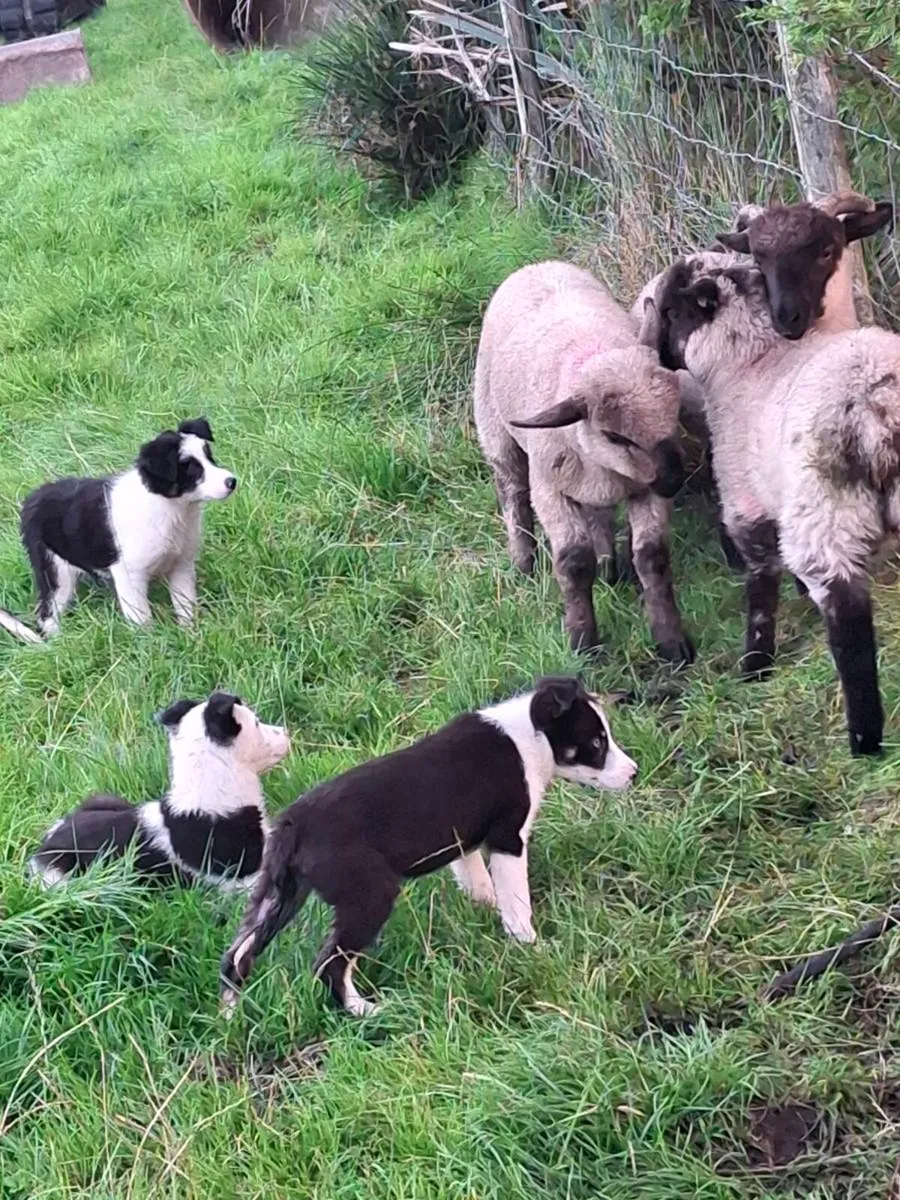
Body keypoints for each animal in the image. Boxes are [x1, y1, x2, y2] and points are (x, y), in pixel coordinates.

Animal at [474, 260, 694, 664]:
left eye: (675, 413)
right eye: (616, 436)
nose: (674, 479)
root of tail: (536, 265)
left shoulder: (644, 489)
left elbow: (652, 557)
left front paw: (672, 643)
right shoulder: (550, 490)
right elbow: (574, 562)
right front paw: (582, 643)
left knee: (598, 512)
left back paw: (610, 568)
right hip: (494, 429)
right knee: (512, 491)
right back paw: (523, 564)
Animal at [647, 255, 900, 756]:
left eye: (669, 311)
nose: (657, 355)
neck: (751, 362)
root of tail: (879, 401)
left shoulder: (748, 503)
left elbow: (761, 584)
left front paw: (756, 663)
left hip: (824, 507)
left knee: (847, 615)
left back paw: (864, 736)